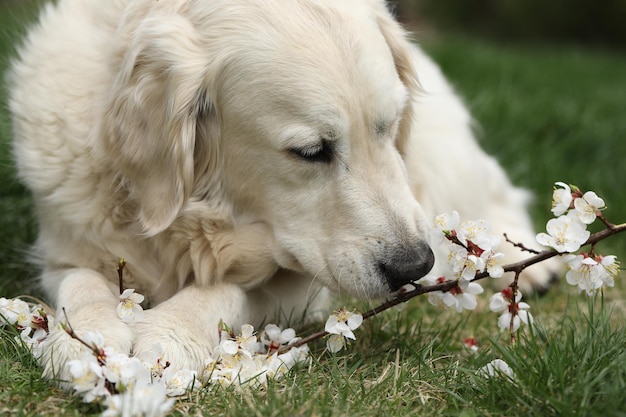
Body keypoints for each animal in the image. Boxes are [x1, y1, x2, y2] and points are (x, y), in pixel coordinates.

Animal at [8, 0, 556, 378]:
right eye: (311, 151)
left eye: (387, 128)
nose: (413, 267)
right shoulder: (68, 249)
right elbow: (82, 286)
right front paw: (85, 338)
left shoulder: (300, 285)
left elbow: (229, 291)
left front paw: (169, 332)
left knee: (501, 198)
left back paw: (525, 265)